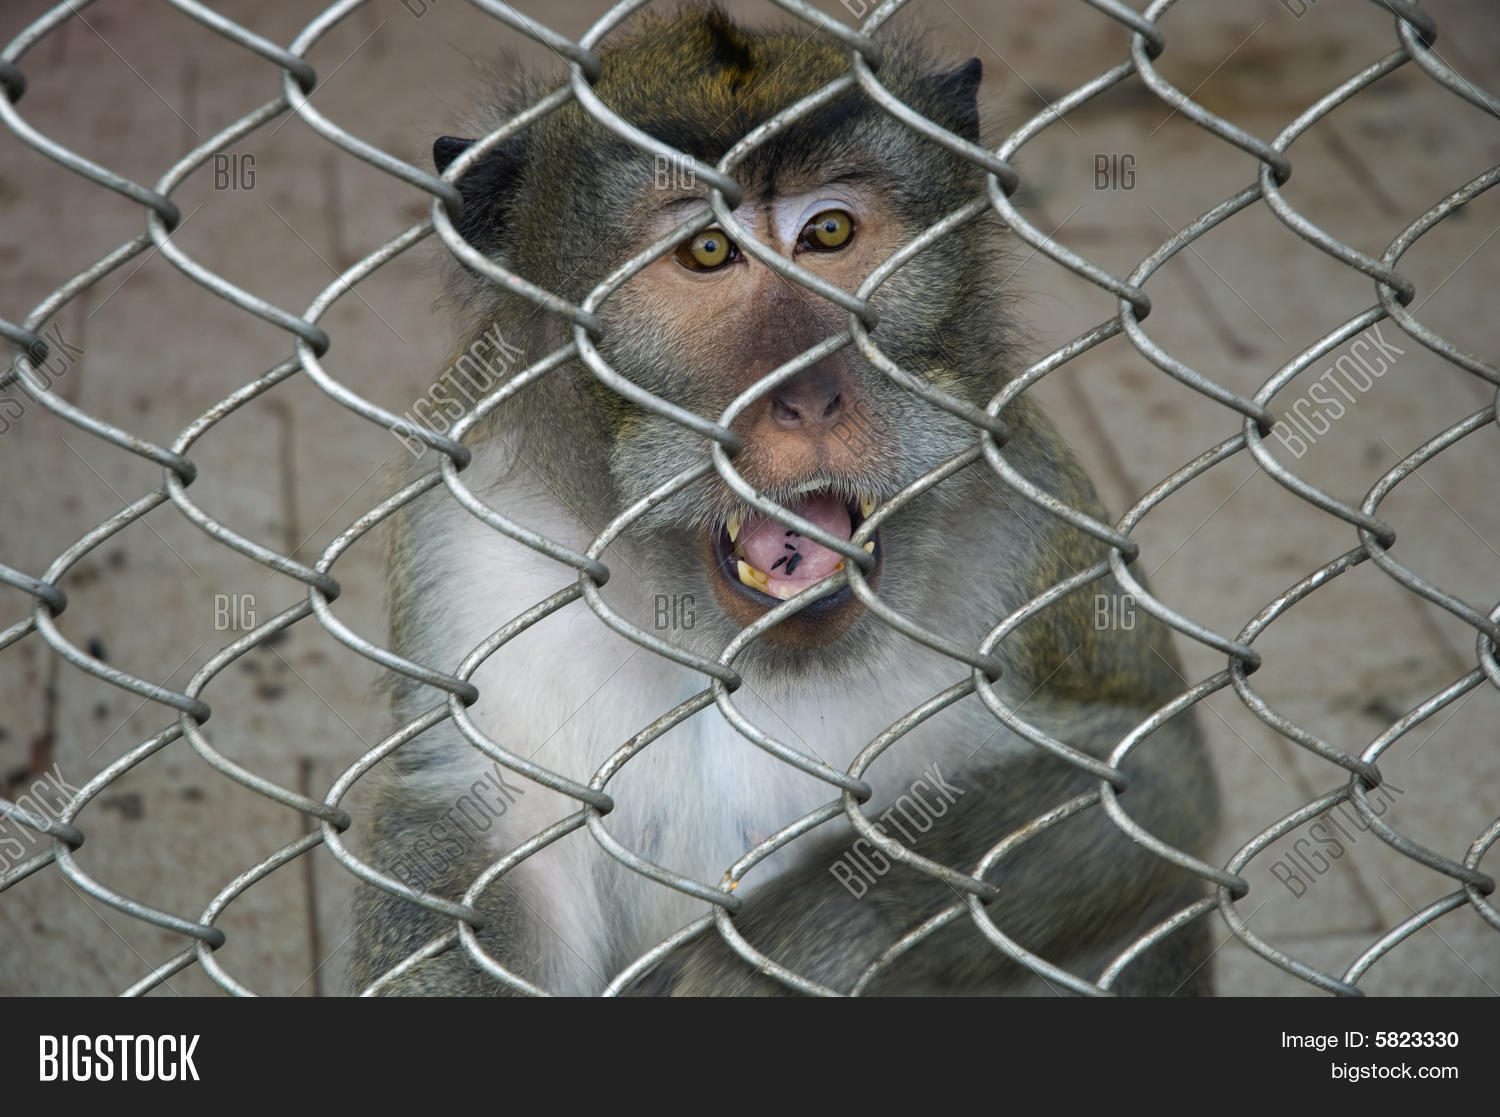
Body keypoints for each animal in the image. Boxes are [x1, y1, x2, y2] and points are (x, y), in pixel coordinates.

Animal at [349, 3, 1220, 996]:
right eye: (707, 250)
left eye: (829, 232)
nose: (808, 395)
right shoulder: (472, 543)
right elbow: (470, 840)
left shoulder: (1025, 516)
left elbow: (1148, 784)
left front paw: (745, 966)